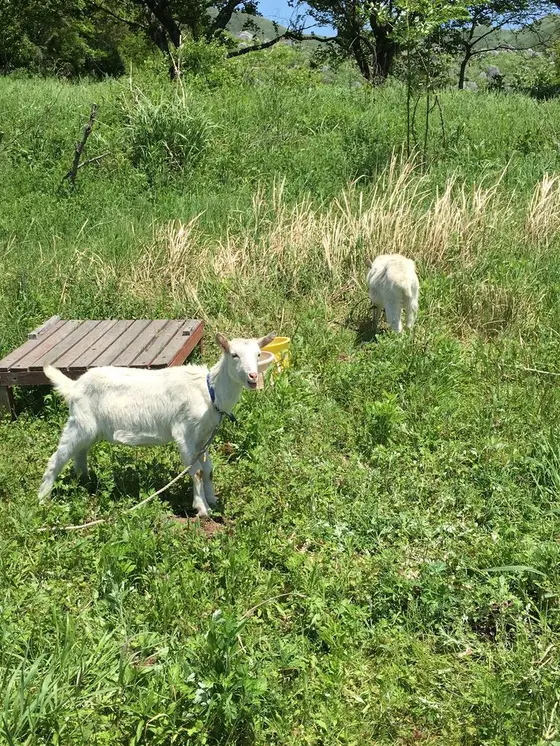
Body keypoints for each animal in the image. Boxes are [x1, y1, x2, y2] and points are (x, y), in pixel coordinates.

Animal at [37, 332, 276, 516]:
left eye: (258, 354)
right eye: (234, 355)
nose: (253, 377)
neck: (210, 392)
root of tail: (74, 386)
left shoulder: (203, 437)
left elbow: (208, 470)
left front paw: (212, 500)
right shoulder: (184, 433)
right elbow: (197, 471)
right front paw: (202, 509)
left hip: (90, 430)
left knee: (80, 453)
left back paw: (86, 483)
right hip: (80, 422)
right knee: (57, 457)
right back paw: (42, 498)